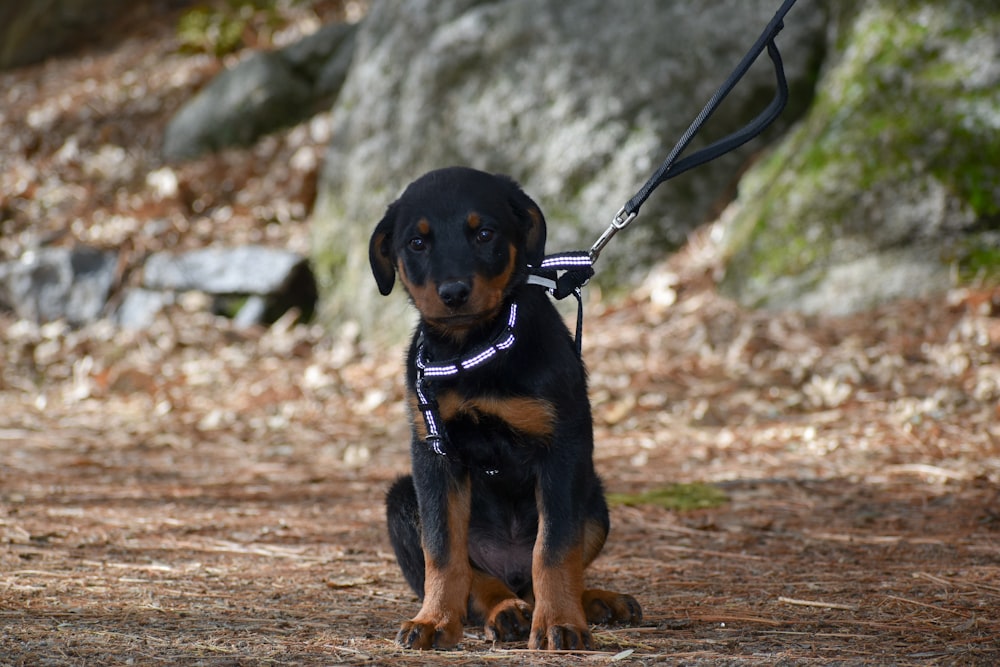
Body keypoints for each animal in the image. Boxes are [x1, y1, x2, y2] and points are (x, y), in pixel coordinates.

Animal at [368, 168, 640, 652]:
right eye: (416, 243)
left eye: (485, 233)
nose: (454, 292)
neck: (476, 349)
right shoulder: (433, 456)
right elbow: (442, 551)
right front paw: (435, 620)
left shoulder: (563, 448)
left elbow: (554, 549)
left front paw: (559, 623)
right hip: (401, 501)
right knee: (482, 581)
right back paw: (506, 610)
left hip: (594, 501)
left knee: (539, 572)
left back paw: (593, 601)